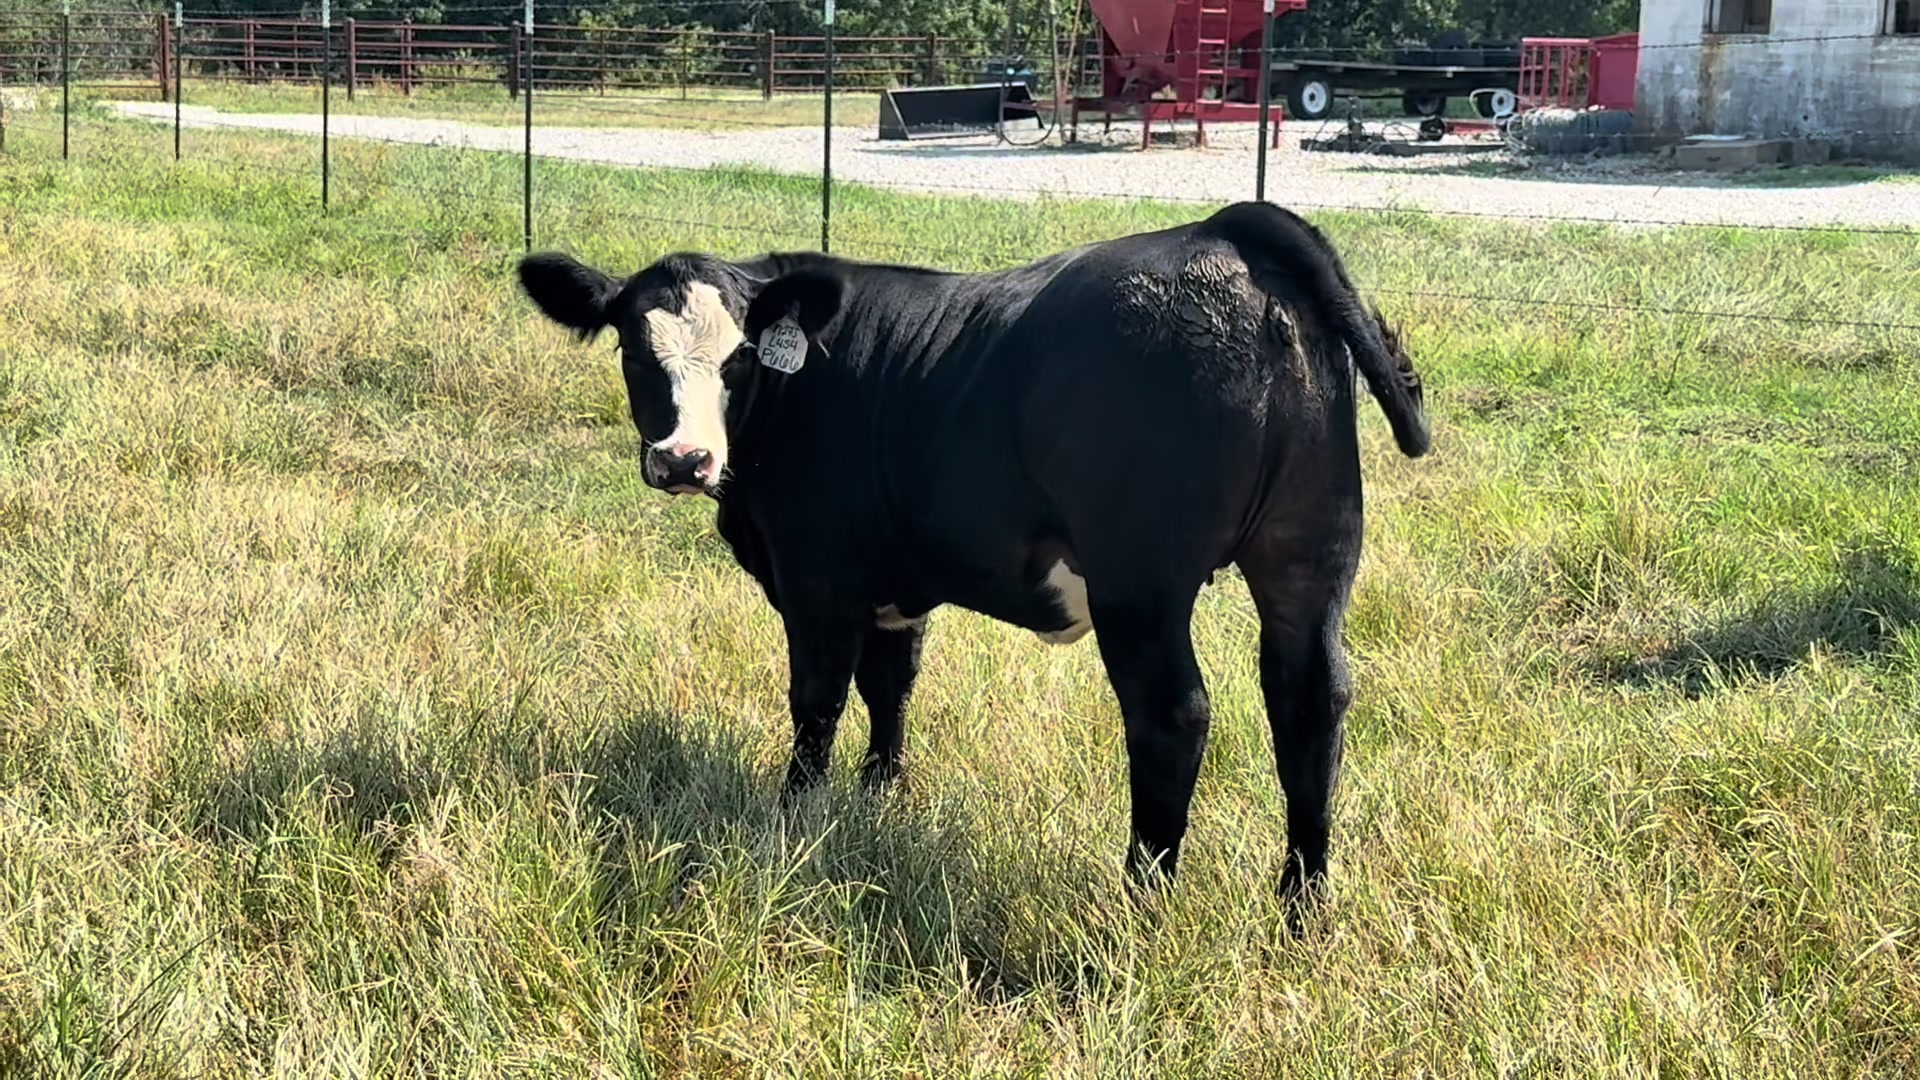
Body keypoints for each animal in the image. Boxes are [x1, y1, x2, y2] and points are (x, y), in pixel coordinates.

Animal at [515, 200, 1430, 913]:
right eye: (634, 351)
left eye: (739, 356)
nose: (684, 460)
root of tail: (1224, 233)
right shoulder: (895, 580)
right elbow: (890, 687)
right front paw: (879, 798)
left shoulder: (816, 579)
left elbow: (817, 703)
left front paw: (794, 815)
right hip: (1310, 554)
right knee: (1309, 702)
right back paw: (1302, 910)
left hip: (1140, 583)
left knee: (1173, 716)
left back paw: (1141, 900)